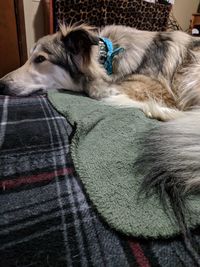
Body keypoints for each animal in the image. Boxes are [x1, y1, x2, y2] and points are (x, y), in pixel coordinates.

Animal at [1, 24, 200, 264]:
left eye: (40, 59)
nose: (0, 85)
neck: (108, 57)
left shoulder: (155, 89)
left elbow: (98, 90)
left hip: (191, 74)